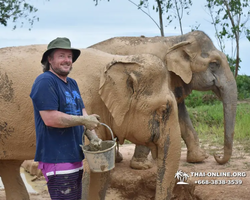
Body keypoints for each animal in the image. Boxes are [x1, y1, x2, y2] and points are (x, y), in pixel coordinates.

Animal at [89, 30, 237, 167]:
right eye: (214, 63)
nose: (216, 156)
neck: (178, 40)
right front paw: (142, 166)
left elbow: (181, 115)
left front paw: (199, 159)